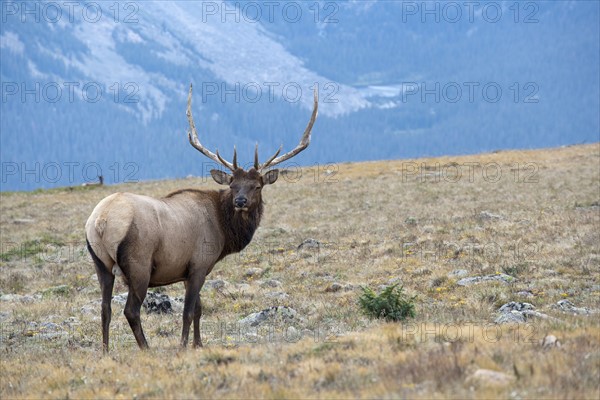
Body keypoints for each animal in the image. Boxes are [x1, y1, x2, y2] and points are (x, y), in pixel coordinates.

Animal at [86, 83, 318, 350]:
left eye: (257, 186)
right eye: (232, 184)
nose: (240, 201)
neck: (224, 233)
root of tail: (100, 221)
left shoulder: (188, 271)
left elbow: (198, 309)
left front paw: (198, 343)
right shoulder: (199, 264)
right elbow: (188, 311)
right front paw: (183, 345)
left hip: (100, 263)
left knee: (104, 309)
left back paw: (105, 351)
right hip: (139, 264)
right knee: (131, 310)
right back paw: (146, 348)